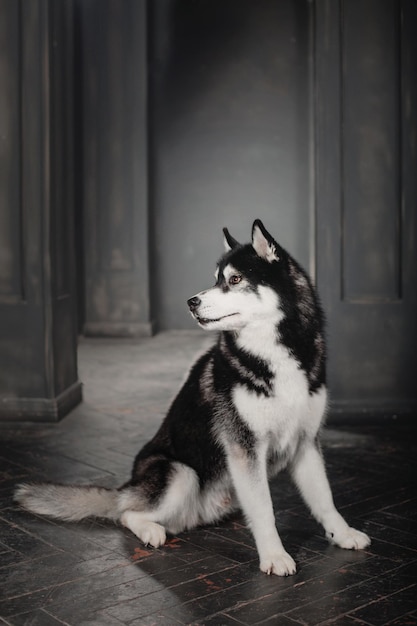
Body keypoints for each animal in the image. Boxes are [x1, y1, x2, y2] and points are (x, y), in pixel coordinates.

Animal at [14, 221, 368, 576]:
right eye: (215, 279)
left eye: (234, 280)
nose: (191, 302)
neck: (272, 355)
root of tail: (129, 486)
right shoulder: (245, 447)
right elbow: (265, 508)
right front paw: (274, 555)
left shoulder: (305, 441)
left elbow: (324, 498)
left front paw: (342, 533)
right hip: (180, 475)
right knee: (127, 513)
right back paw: (150, 530)